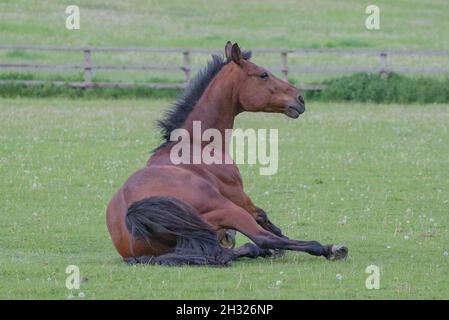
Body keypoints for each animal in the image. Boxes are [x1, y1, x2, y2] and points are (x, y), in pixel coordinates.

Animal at [107, 41, 348, 266]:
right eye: (263, 74)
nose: (300, 99)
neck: (197, 144)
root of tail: (133, 214)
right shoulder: (239, 196)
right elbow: (262, 216)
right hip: (227, 209)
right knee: (260, 238)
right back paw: (329, 248)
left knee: (231, 251)